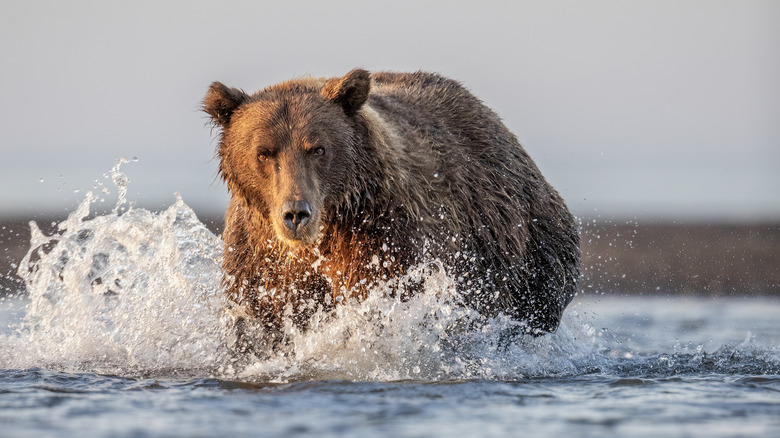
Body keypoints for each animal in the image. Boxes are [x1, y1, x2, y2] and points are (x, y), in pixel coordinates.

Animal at [204, 68, 580, 350]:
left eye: (318, 148)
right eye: (264, 153)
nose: (296, 214)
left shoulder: (385, 236)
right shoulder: (259, 256)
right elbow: (259, 317)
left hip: (524, 249)